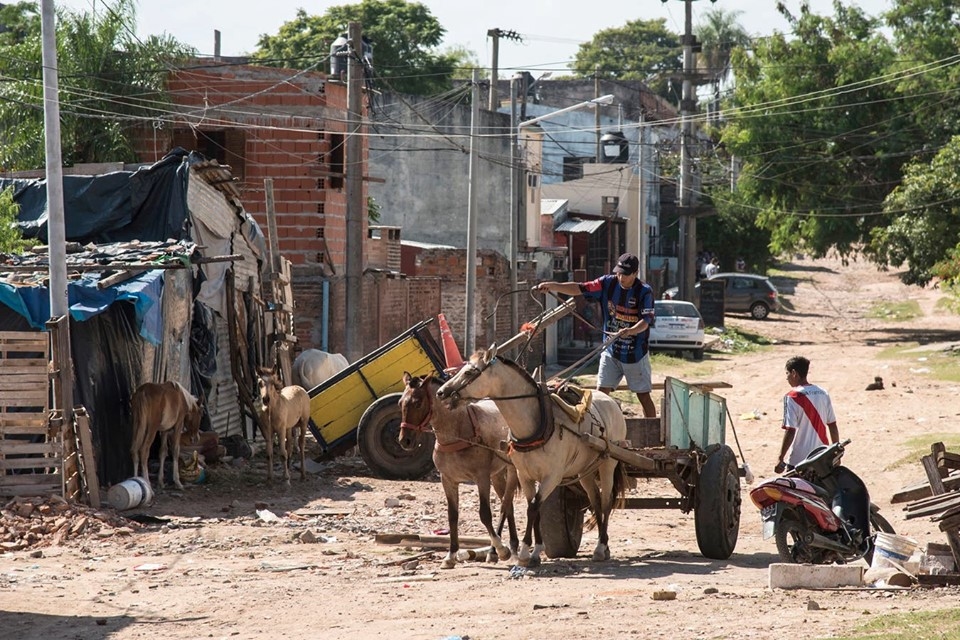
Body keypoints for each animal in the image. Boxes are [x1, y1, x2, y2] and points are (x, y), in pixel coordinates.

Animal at [396, 372, 520, 568]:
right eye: (400, 403)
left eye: (418, 403)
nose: (405, 441)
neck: (458, 433)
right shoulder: (448, 480)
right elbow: (452, 516)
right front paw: (451, 555)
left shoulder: (481, 478)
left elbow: (485, 514)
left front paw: (501, 548)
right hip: (498, 475)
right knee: (508, 506)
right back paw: (505, 547)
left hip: (512, 471)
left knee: (505, 505)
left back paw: (501, 549)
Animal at [436, 344, 632, 564]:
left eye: (469, 372)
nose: (441, 392)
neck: (537, 423)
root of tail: (612, 401)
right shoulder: (524, 475)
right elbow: (534, 508)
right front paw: (536, 550)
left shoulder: (552, 476)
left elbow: (533, 507)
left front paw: (523, 552)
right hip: (585, 471)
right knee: (596, 501)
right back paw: (602, 546)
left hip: (608, 463)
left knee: (606, 502)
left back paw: (601, 546)